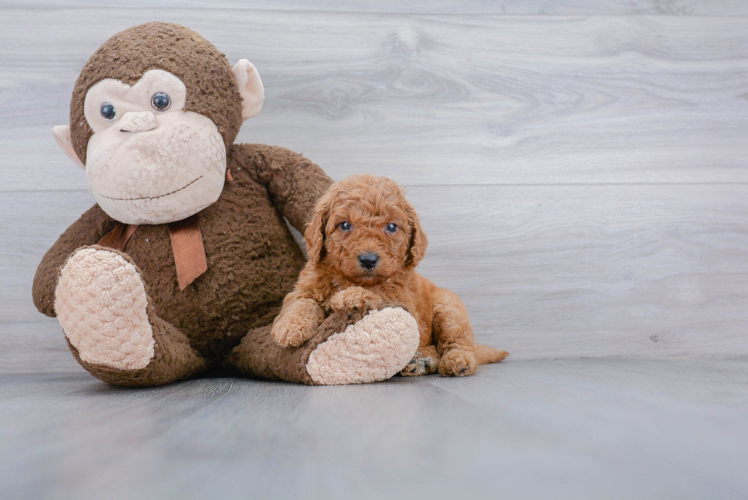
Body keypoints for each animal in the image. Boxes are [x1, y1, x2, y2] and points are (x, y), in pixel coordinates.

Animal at [270, 175, 508, 376]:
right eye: (344, 225)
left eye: (392, 227)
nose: (368, 259)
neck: (350, 278)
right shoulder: (305, 287)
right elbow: (301, 303)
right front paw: (290, 328)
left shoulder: (402, 300)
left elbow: (377, 293)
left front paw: (350, 296)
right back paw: (421, 361)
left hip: (449, 308)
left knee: (458, 343)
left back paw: (456, 361)